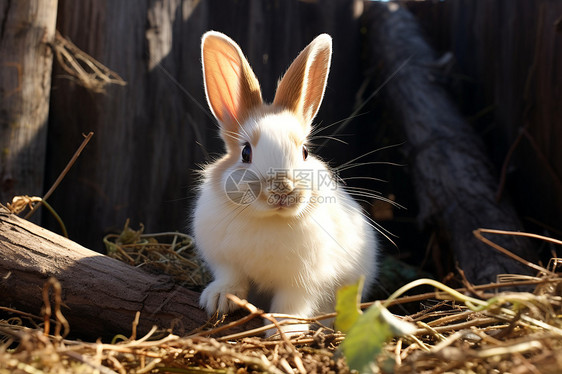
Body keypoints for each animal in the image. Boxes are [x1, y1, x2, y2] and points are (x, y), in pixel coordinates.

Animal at [192, 31, 376, 334]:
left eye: (305, 152)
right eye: (245, 153)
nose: (282, 190)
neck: (269, 220)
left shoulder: (302, 282)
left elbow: (292, 304)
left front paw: (285, 328)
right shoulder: (225, 262)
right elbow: (231, 278)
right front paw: (218, 299)